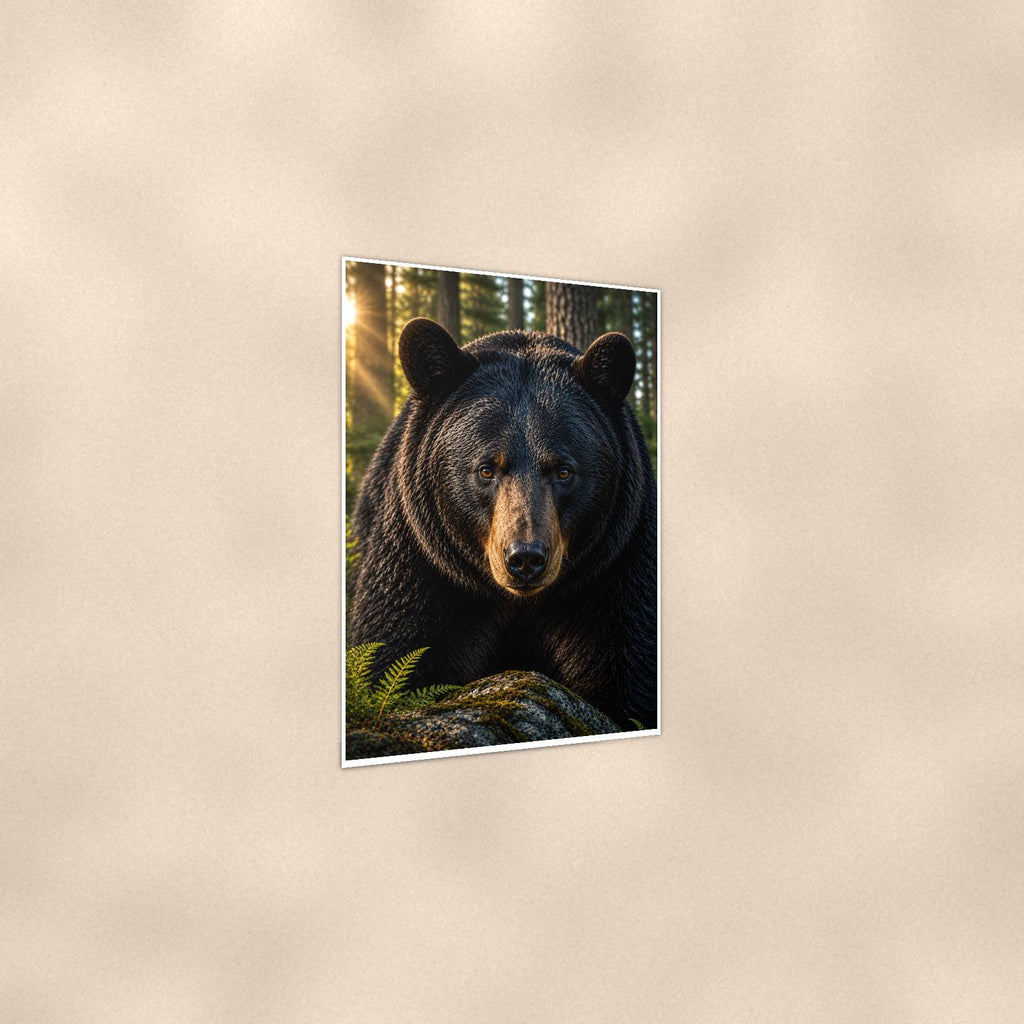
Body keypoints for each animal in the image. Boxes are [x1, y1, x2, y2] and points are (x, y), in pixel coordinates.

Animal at [348, 316, 658, 730]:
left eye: (563, 470)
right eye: (486, 469)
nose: (525, 557)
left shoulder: (615, 567)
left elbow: (629, 667)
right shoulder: (424, 564)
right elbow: (398, 644)